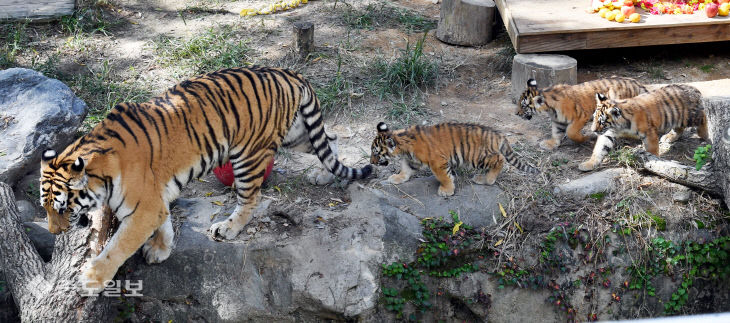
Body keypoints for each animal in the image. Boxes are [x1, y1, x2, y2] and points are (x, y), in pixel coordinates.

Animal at [38, 66, 370, 296]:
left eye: (62, 207)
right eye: (46, 209)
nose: (54, 232)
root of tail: (287, 72)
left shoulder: (142, 208)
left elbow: (117, 247)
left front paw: (91, 279)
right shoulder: (155, 201)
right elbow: (165, 224)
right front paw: (161, 250)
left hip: (248, 153)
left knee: (252, 198)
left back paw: (228, 228)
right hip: (296, 133)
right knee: (331, 140)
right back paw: (325, 175)